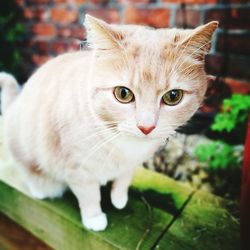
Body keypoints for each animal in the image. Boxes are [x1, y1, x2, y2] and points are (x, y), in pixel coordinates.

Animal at [0, 15, 218, 230]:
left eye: (173, 96)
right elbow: (89, 195)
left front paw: (119, 198)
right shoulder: (76, 169)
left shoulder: (131, 164)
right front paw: (94, 218)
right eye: (123, 94)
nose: (146, 127)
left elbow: (124, 178)